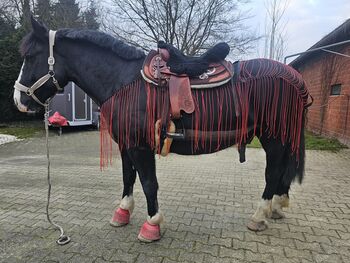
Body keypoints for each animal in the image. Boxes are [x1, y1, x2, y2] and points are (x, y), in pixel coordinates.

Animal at [12, 17, 310, 242]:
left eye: (30, 56)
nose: (19, 101)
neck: (124, 80)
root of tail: (294, 78)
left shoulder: (140, 146)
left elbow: (148, 183)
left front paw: (152, 225)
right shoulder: (126, 144)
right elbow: (128, 178)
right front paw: (122, 212)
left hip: (273, 137)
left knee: (273, 173)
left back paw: (260, 216)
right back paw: (276, 207)